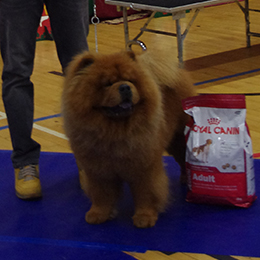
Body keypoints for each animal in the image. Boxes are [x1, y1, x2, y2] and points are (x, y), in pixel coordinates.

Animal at [61, 50, 195, 228]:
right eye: (107, 83)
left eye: (130, 80)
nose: (125, 87)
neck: (114, 131)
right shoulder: (98, 169)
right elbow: (101, 194)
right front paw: (98, 214)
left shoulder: (144, 167)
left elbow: (146, 193)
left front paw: (144, 217)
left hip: (179, 138)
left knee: (183, 159)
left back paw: (186, 180)